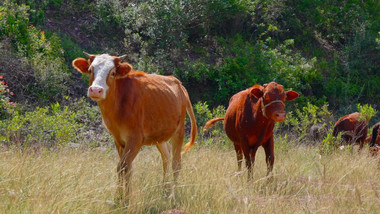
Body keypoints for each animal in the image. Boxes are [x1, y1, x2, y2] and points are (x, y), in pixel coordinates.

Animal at [71, 52, 197, 196]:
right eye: (90, 70)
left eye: (112, 72)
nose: (96, 90)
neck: (118, 105)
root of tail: (178, 83)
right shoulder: (119, 140)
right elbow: (126, 168)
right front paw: (123, 195)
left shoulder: (136, 139)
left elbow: (123, 166)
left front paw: (122, 198)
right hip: (159, 135)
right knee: (166, 155)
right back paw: (164, 187)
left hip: (179, 131)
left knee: (176, 164)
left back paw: (173, 193)